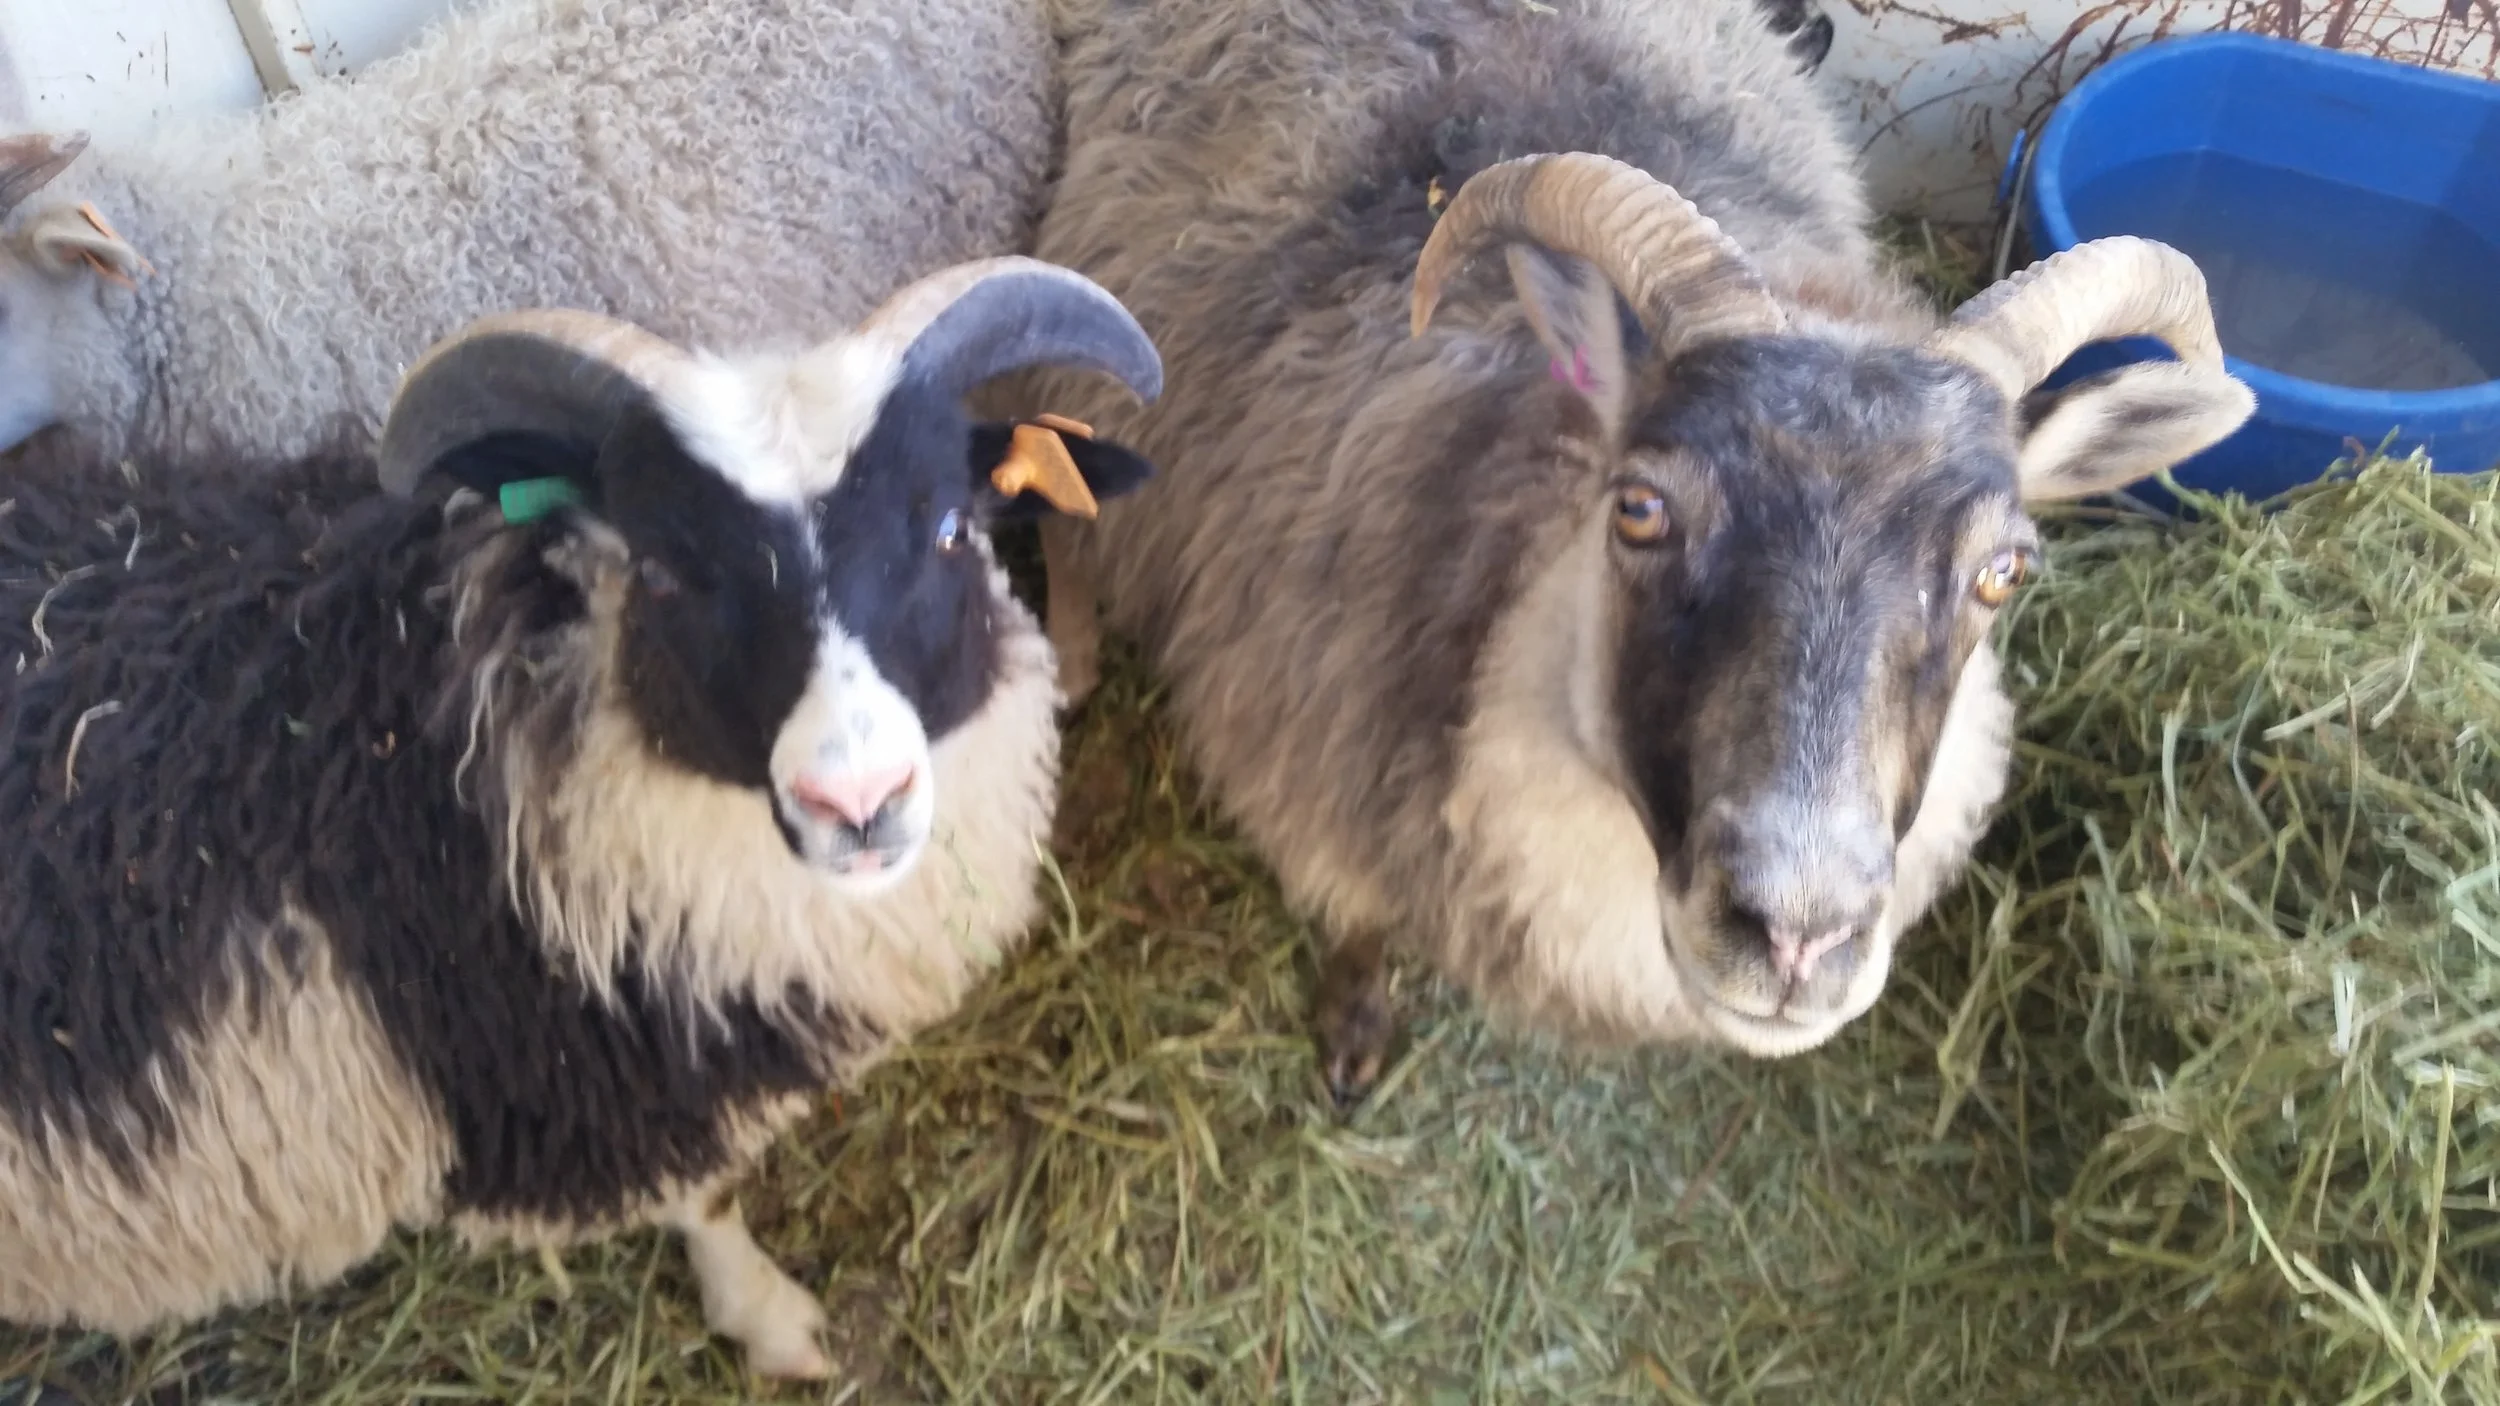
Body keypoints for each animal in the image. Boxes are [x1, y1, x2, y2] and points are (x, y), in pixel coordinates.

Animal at [0, 255, 1163, 1380]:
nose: (859, 802)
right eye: (663, 572)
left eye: (953, 528)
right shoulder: (581, 1092)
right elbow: (705, 1198)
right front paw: (772, 1323)